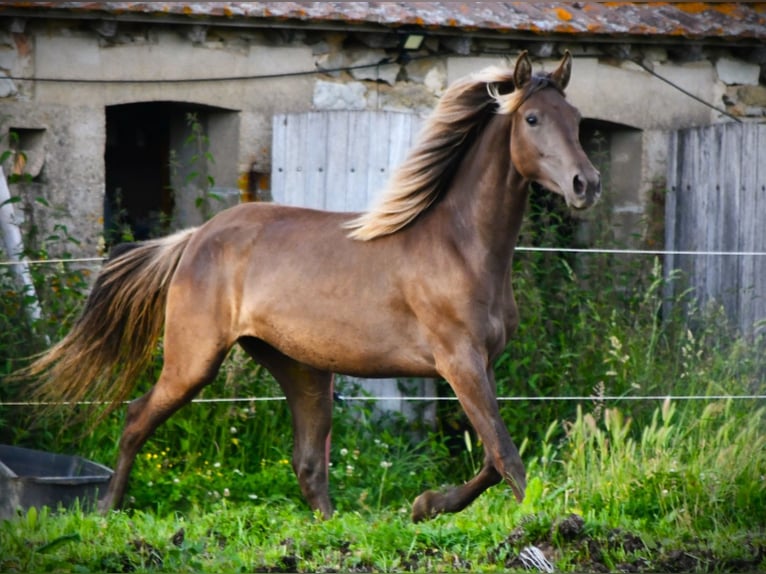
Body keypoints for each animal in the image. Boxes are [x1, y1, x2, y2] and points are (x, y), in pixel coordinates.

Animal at [21, 51, 600, 522]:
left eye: (576, 120)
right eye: (532, 118)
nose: (586, 185)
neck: (461, 246)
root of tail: (194, 239)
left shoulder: (483, 363)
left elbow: (490, 456)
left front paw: (425, 505)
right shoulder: (459, 361)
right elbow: (506, 455)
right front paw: (536, 521)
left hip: (301, 368)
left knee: (307, 463)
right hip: (195, 360)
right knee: (136, 417)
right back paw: (105, 511)